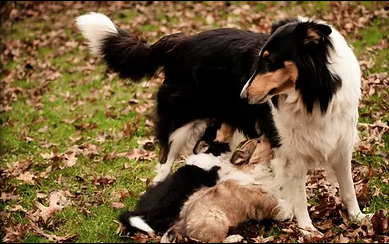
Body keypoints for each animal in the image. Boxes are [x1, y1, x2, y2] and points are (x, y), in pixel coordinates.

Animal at [159, 138, 290, 243]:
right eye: (259, 141)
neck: (253, 168)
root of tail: (182, 223)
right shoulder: (270, 205)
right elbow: (285, 208)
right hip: (216, 219)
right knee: (216, 241)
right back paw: (234, 238)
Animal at [238, 16, 368, 234]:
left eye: (270, 61)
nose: (242, 96)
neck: (314, 96)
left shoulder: (341, 145)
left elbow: (348, 187)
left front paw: (358, 217)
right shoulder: (292, 155)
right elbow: (299, 195)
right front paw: (307, 229)